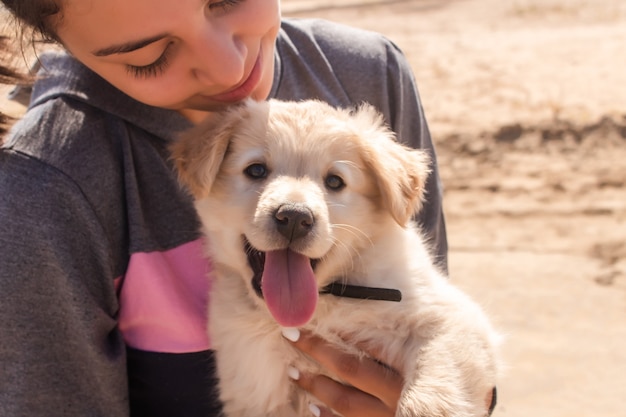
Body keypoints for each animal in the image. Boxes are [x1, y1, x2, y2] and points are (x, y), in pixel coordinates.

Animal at [169, 100, 498, 416]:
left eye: (335, 182)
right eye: (256, 170)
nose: (294, 217)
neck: (321, 308)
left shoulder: (453, 318)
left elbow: (435, 383)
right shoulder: (254, 386)